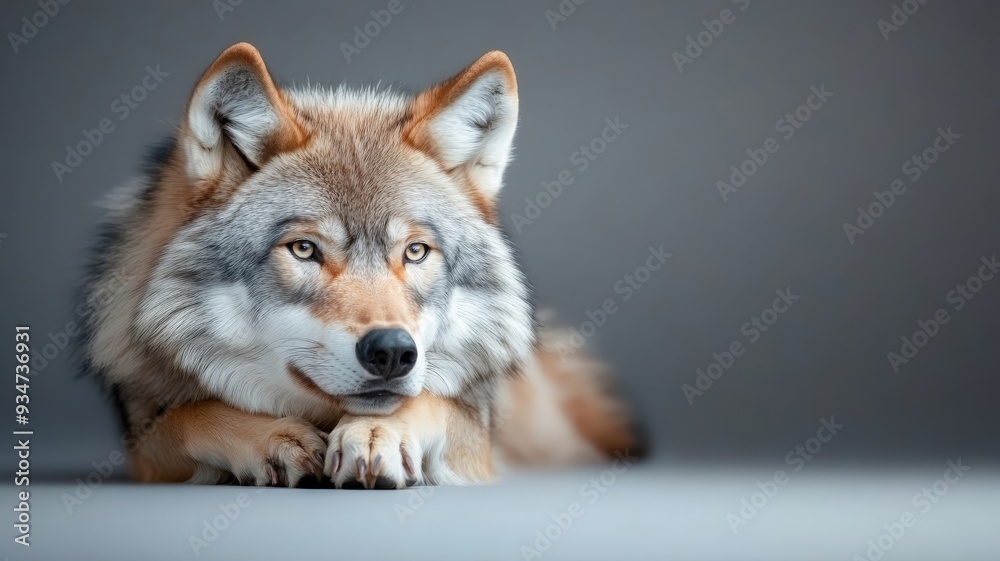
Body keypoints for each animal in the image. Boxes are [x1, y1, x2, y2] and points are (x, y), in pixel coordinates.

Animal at [78, 42, 638, 488]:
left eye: (415, 251)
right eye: (304, 249)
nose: (391, 352)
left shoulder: (477, 437)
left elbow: (426, 401)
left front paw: (375, 434)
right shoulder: (142, 442)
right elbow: (190, 416)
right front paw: (275, 438)